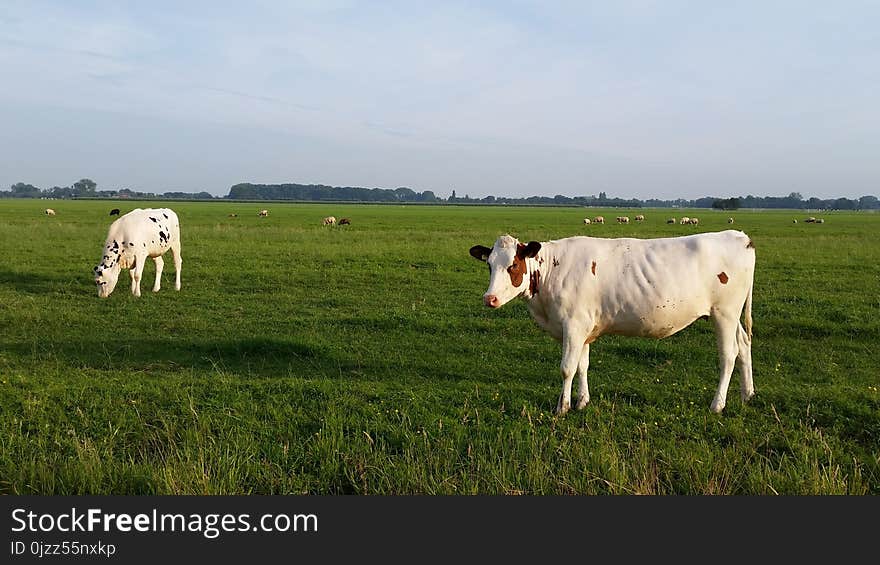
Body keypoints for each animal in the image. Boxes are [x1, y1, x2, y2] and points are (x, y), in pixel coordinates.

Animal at [468, 229, 756, 414]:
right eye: (489, 265)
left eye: (513, 265)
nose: (489, 298)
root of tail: (739, 236)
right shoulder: (584, 327)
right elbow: (582, 365)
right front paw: (582, 402)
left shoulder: (573, 326)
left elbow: (567, 368)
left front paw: (562, 407)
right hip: (731, 315)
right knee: (743, 345)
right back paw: (747, 394)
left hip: (724, 313)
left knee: (728, 355)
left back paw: (717, 405)